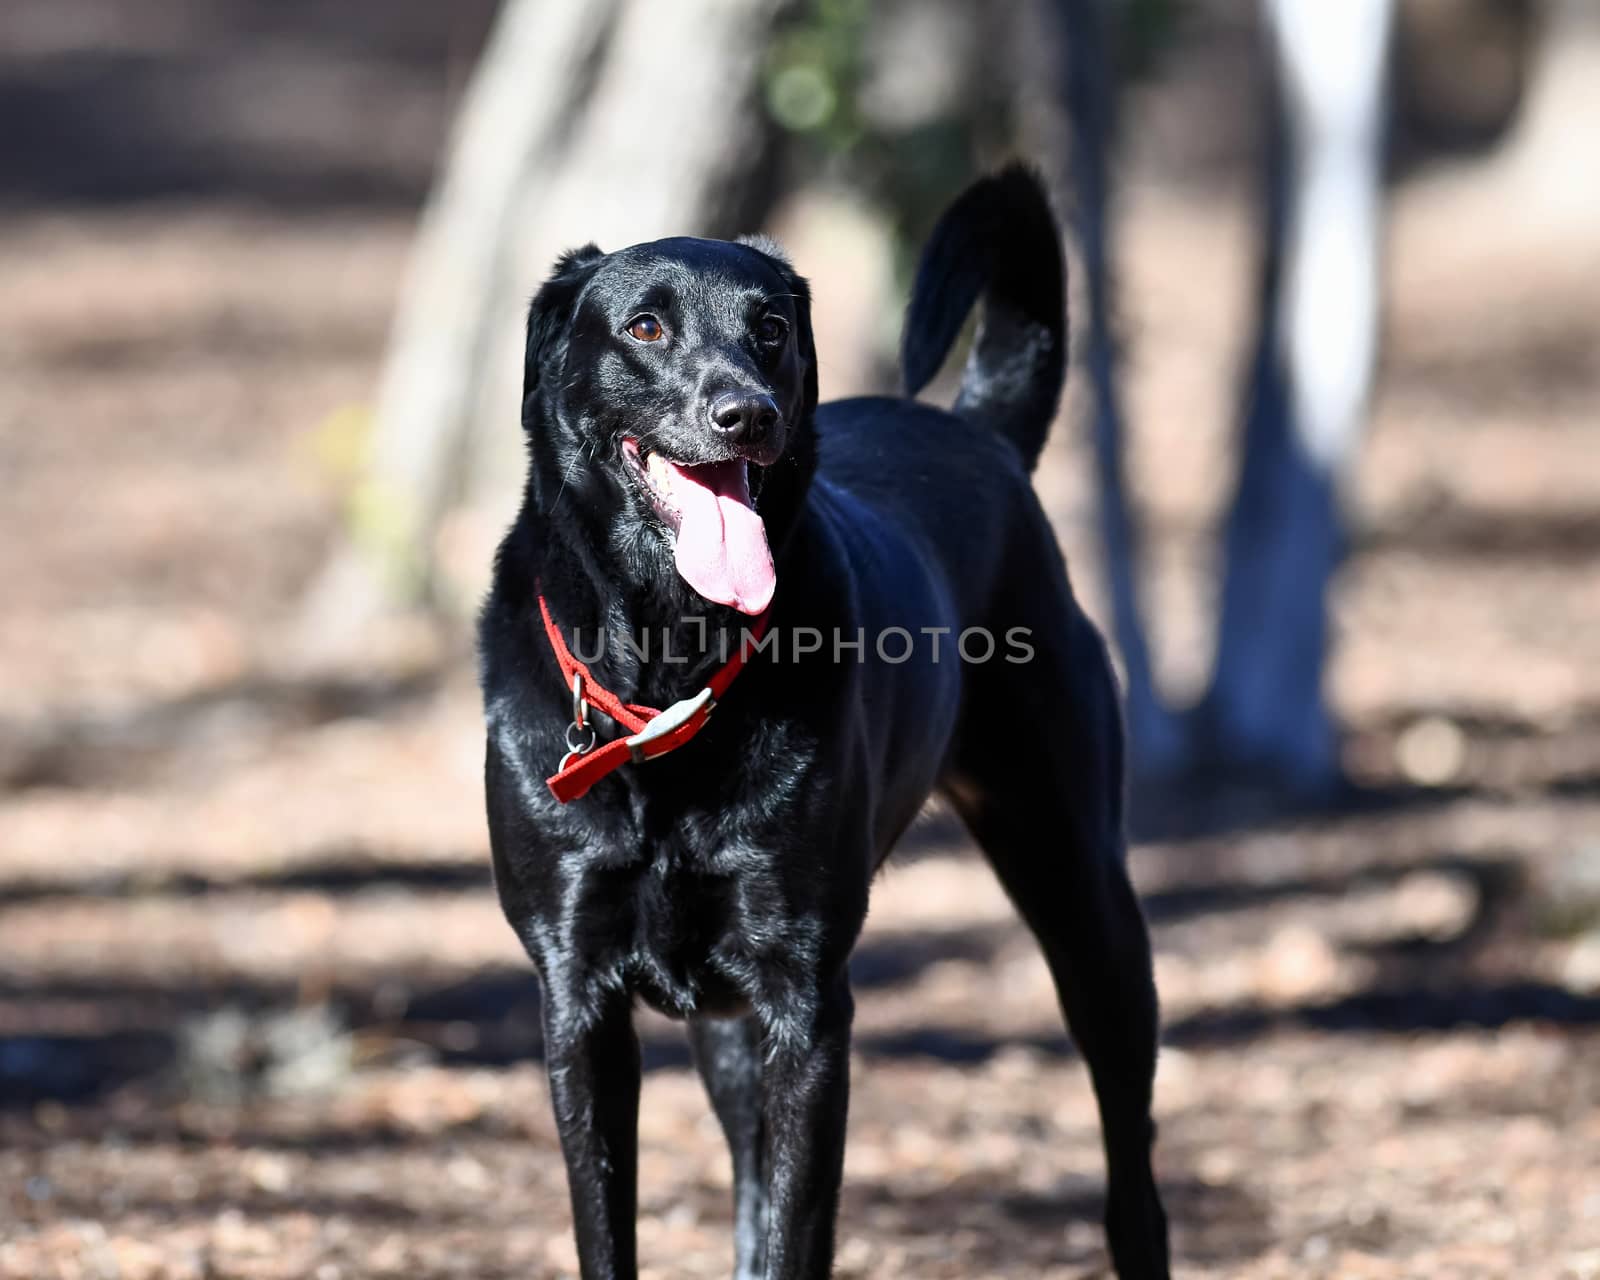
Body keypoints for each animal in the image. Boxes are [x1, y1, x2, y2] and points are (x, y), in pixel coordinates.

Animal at [480, 164, 1171, 1273]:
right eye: (644, 326)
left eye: (769, 327)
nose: (745, 413)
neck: (673, 668)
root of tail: (980, 432)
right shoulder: (578, 1000)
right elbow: (616, 1227)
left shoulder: (806, 1002)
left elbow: (795, 1233)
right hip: (723, 1019)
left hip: (1083, 896)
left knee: (1132, 1170)